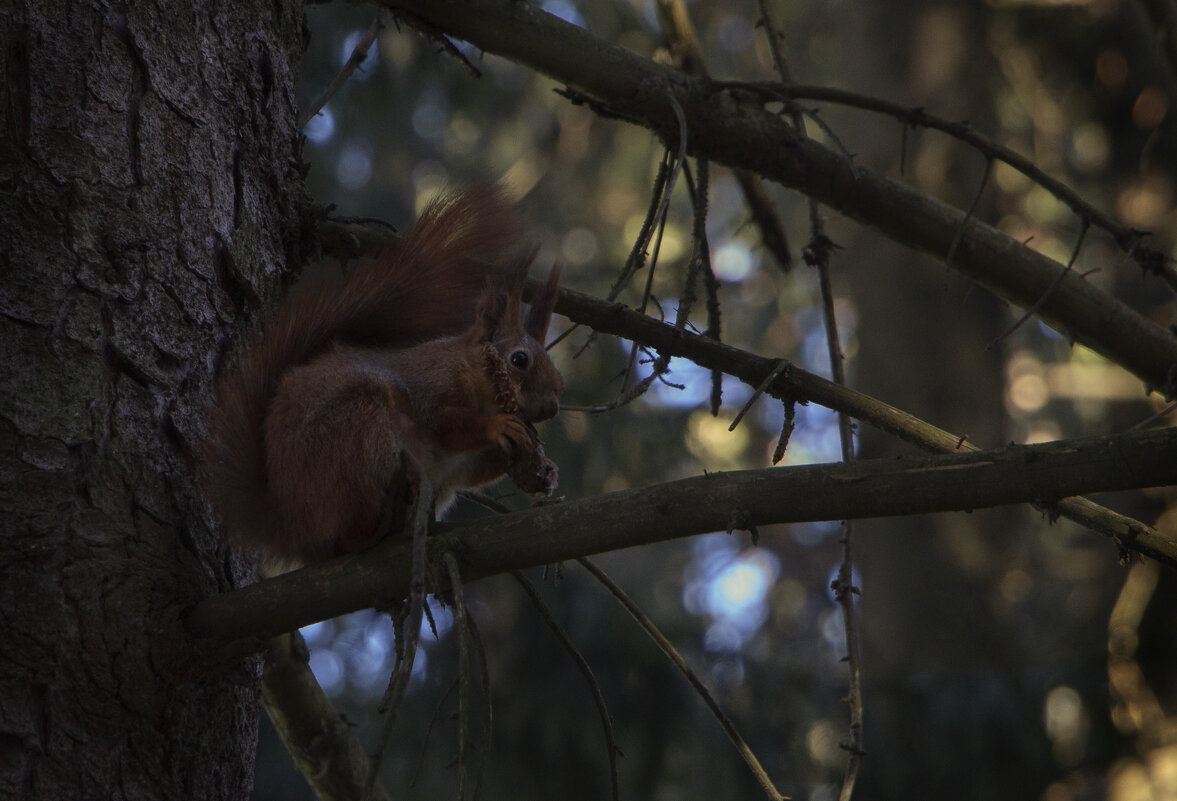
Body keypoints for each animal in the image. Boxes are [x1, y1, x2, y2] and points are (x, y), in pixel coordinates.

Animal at [201, 187, 560, 562]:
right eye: (519, 359)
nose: (551, 407)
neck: (474, 377)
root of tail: (293, 527)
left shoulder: (461, 465)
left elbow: (475, 472)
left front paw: (546, 470)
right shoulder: (431, 383)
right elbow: (444, 423)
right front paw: (497, 426)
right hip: (357, 430)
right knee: (349, 534)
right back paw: (373, 527)